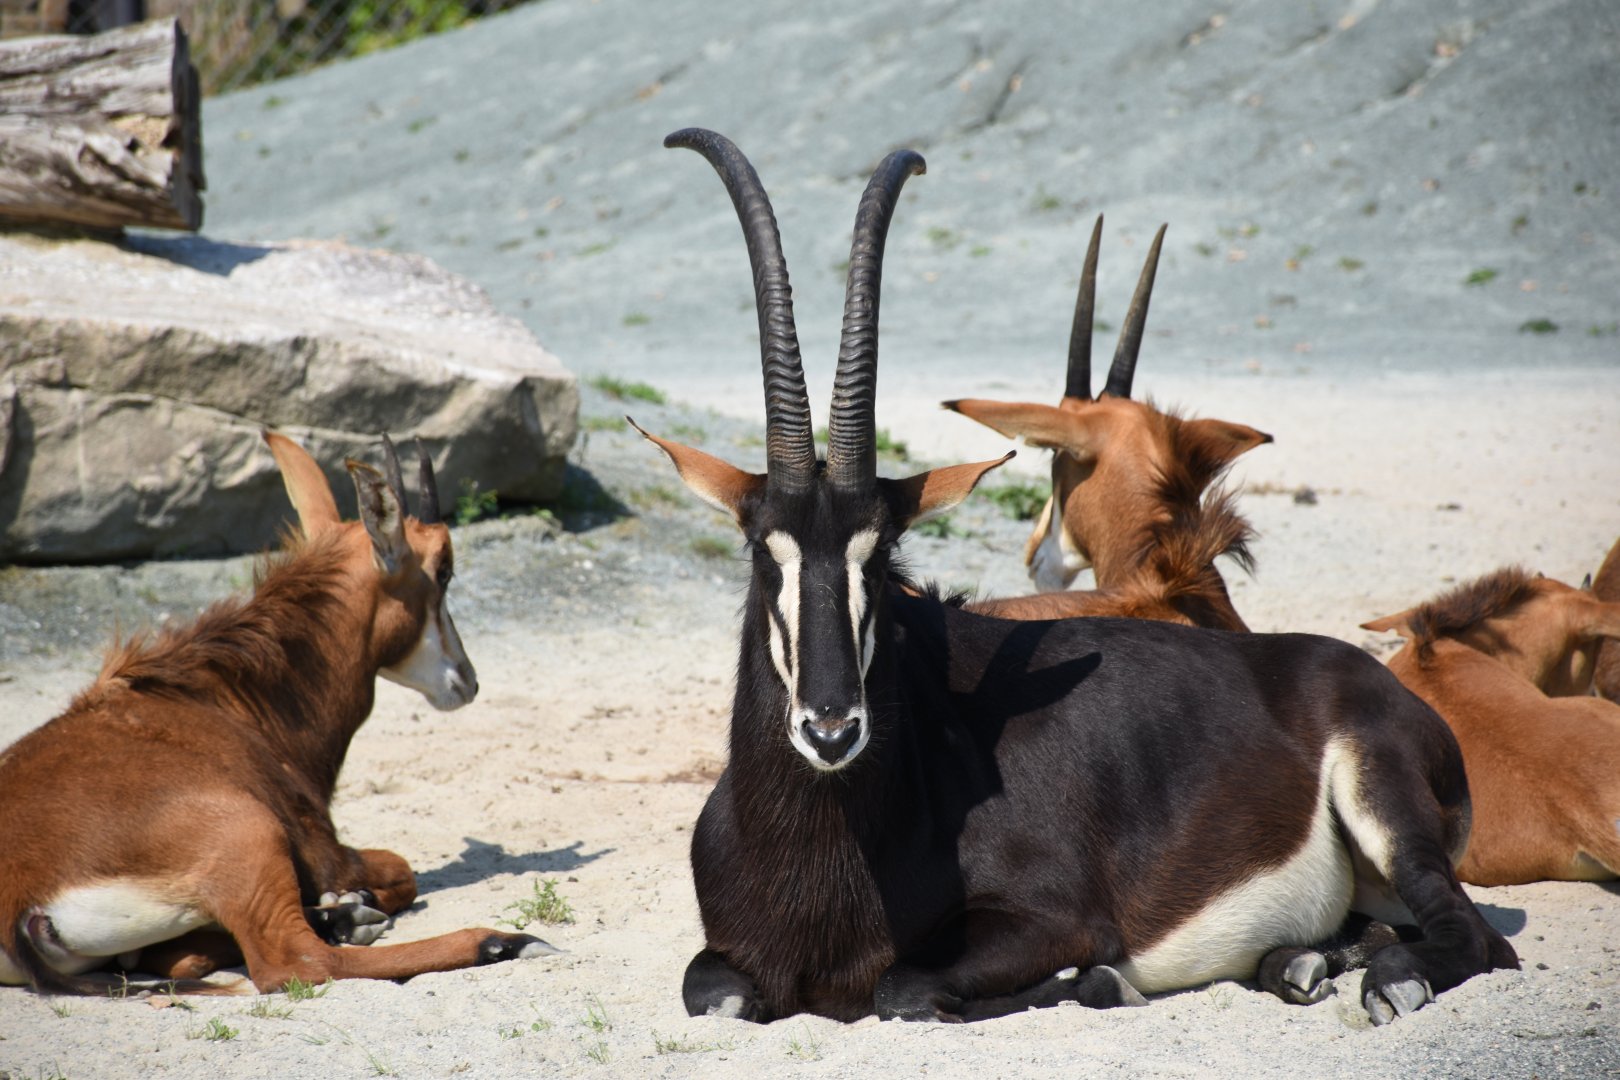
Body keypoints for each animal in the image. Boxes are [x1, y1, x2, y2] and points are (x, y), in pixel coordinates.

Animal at [0, 433, 558, 995]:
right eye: (443, 570)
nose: (468, 679)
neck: (226, 698)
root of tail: (19, 900)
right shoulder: (328, 856)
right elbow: (404, 872)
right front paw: (359, 902)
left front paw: (350, 908)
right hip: (250, 833)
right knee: (293, 961)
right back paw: (497, 941)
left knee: (181, 958)